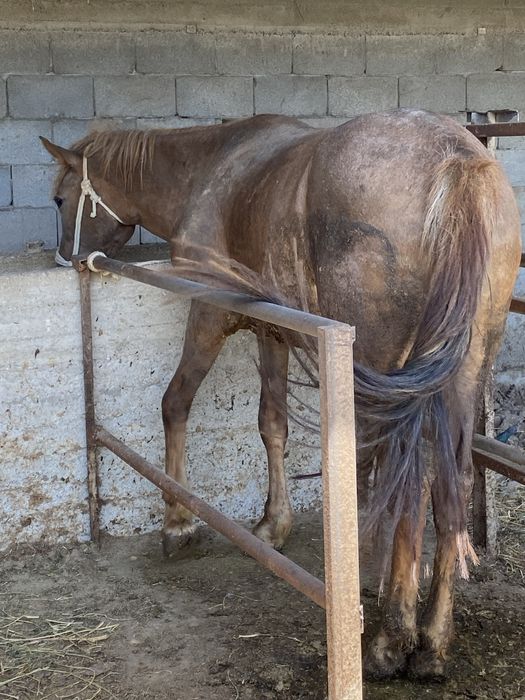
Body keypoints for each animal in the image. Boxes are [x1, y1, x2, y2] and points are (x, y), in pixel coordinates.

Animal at [41, 108, 521, 680]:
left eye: (60, 199)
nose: (65, 258)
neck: (211, 169)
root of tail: (460, 163)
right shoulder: (271, 332)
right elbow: (272, 424)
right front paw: (273, 525)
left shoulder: (210, 313)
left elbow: (175, 402)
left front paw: (178, 524)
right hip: (462, 372)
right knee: (450, 481)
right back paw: (430, 644)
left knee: (406, 477)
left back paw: (390, 638)